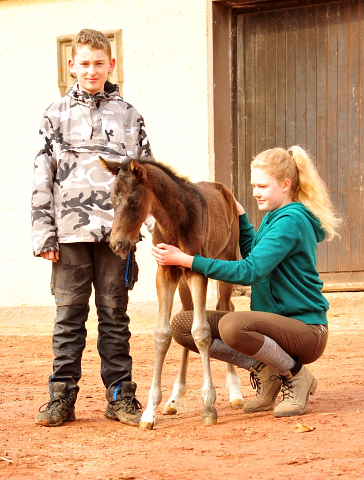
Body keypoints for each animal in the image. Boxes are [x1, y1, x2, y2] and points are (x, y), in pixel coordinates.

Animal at [100, 157, 242, 428]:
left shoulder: (198, 272)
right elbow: (163, 334)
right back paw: (175, 398)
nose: (116, 244)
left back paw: (235, 392)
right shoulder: (165, 272)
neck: (176, 220)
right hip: (184, 281)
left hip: (225, 262)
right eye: (112, 200)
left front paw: (209, 406)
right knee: (186, 315)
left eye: (134, 200)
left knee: (225, 308)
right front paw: (149, 412)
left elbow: (202, 332)